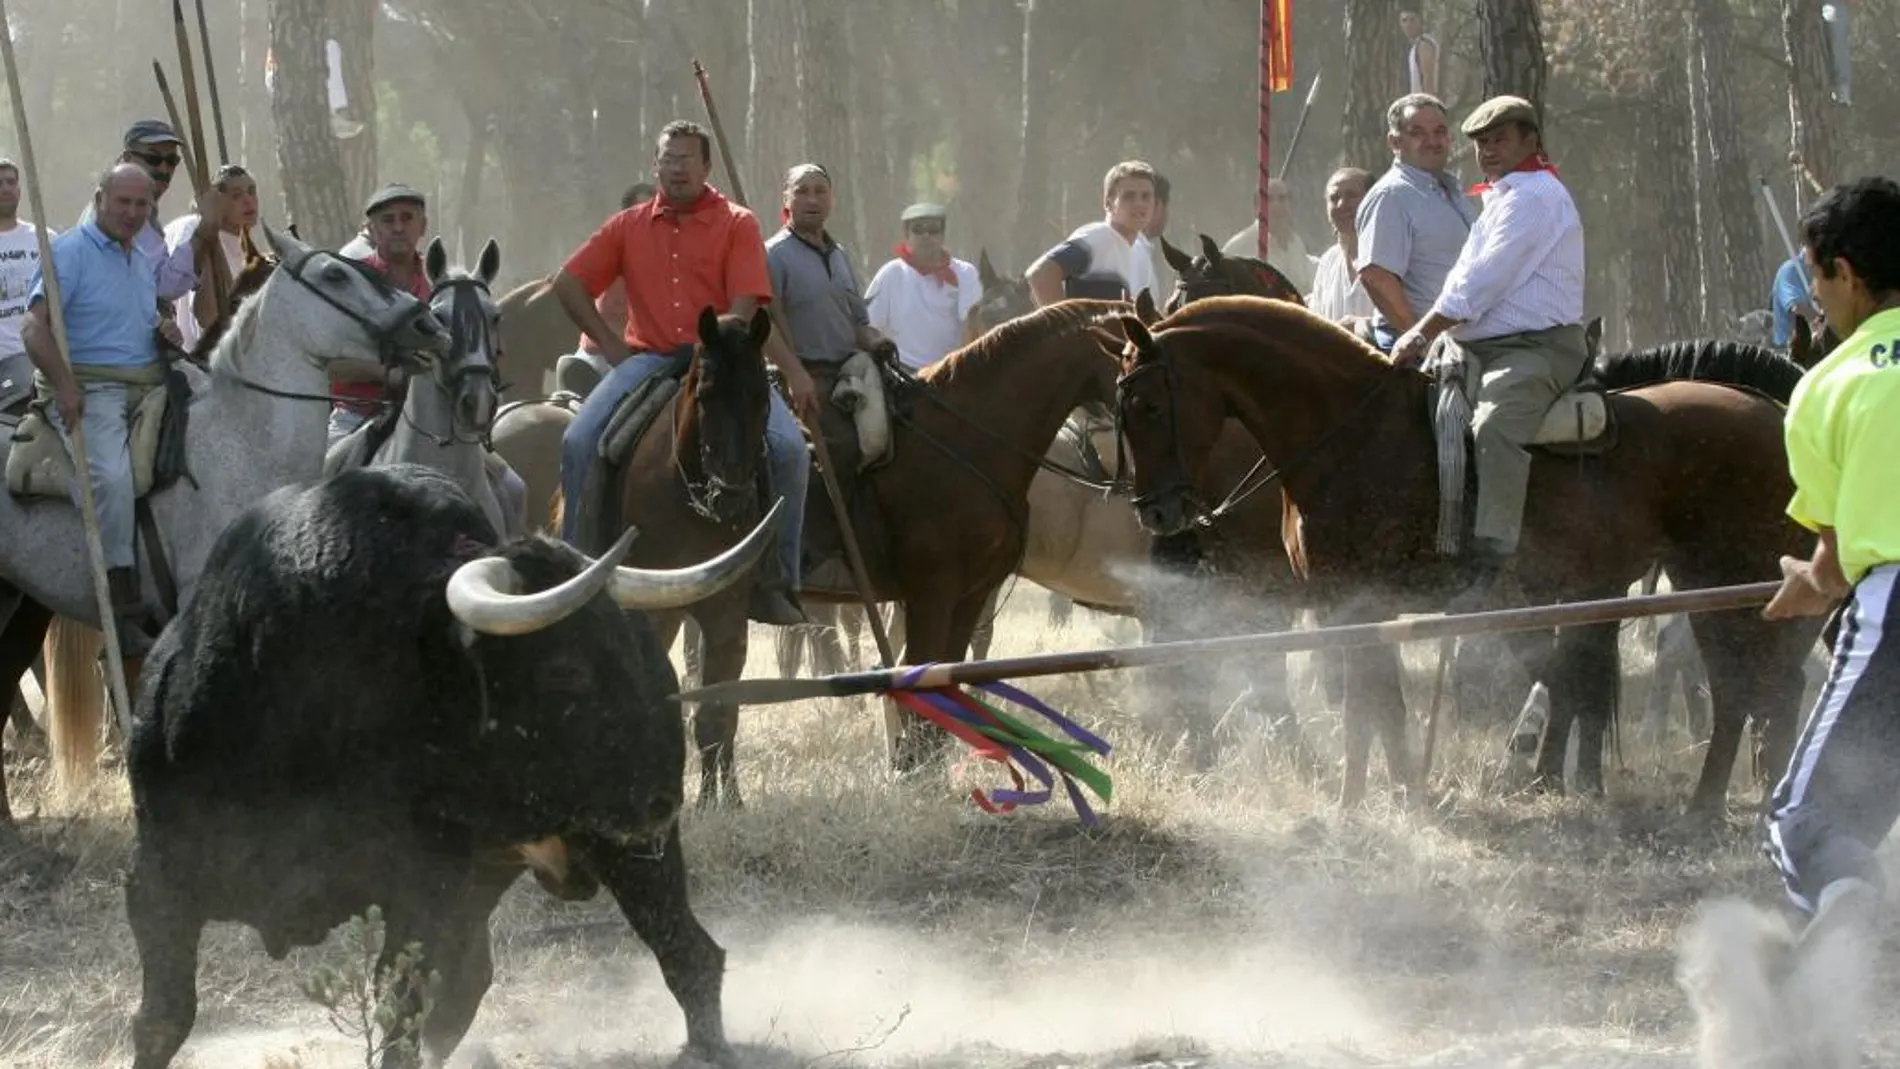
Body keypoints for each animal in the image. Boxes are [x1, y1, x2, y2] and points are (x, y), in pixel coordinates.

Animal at [124, 467, 748, 1069]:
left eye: (629, 648)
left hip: (630, 857)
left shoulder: (422, 886)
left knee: (688, 954)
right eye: (565, 670)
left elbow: (400, 1010)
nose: (661, 799)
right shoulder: (154, 876)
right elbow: (163, 1020)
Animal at [1109, 296, 1824, 816]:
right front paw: (1401, 794)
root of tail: (1775, 412)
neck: (1350, 432)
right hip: (1710, 584)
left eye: (1147, 403)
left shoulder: (1355, 601)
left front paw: (1356, 802)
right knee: (1743, 689)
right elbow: (1384, 704)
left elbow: (1367, 706)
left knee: (1760, 686)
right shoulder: (1358, 607)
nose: (1154, 512)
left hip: (1729, 577)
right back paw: (1710, 809)